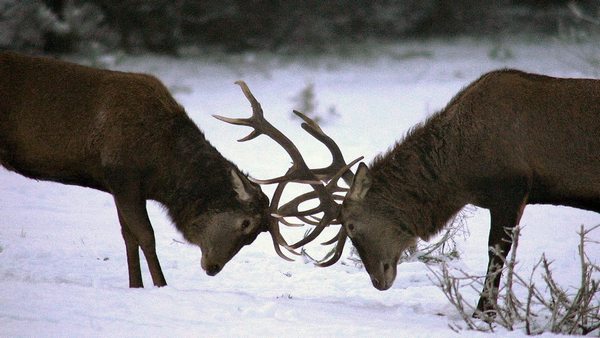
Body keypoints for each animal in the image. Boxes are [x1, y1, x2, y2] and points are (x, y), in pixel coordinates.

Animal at [0, 50, 280, 288]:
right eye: (246, 222)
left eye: (254, 235)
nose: (213, 267)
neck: (161, 167)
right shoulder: (123, 176)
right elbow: (146, 236)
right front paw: (160, 285)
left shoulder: (121, 186)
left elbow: (129, 236)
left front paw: (135, 286)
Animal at [322, 69, 596, 316]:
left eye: (351, 226)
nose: (378, 280)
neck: (463, 175)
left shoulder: (512, 188)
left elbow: (496, 251)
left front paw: (484, 312)